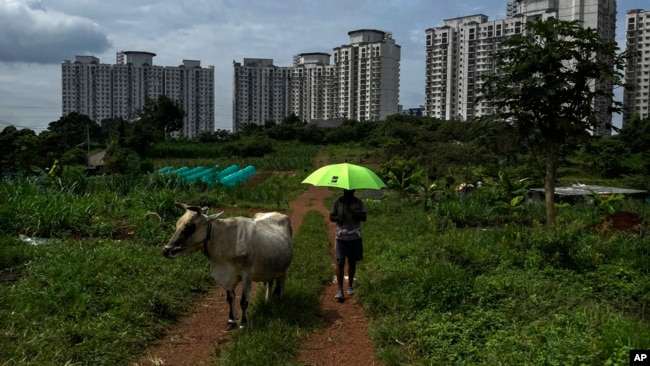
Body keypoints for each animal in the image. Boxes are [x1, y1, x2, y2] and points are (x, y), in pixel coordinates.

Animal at [163, 202, 292, 330]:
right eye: (177, 224)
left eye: (190, 227)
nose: (166, 250)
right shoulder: (225, 276)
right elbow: (230, 298)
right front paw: (231, 321)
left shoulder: (247, 275)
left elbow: (243, 301)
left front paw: (243, 323)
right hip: (269, 268)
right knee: (269, 283)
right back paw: (267, 302)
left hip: (284, 269)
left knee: (281, 285)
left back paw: (281, 301)